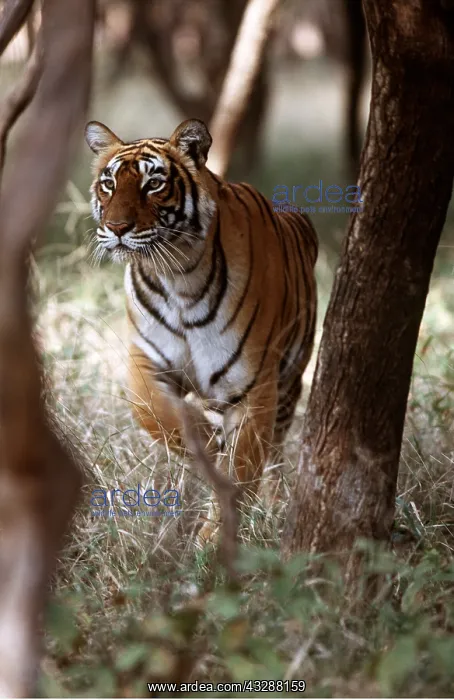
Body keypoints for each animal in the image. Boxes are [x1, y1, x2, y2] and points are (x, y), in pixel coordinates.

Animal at [85, 118, 318, 544]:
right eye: (108, 183)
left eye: (153, 184)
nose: (116, 228)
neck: (176, 276)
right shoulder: (146, 361)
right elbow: (156, 415)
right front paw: (205, 443)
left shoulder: (253, 387)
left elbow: (241, 471)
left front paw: (214, 541)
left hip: (290, 378)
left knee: (276, 449)